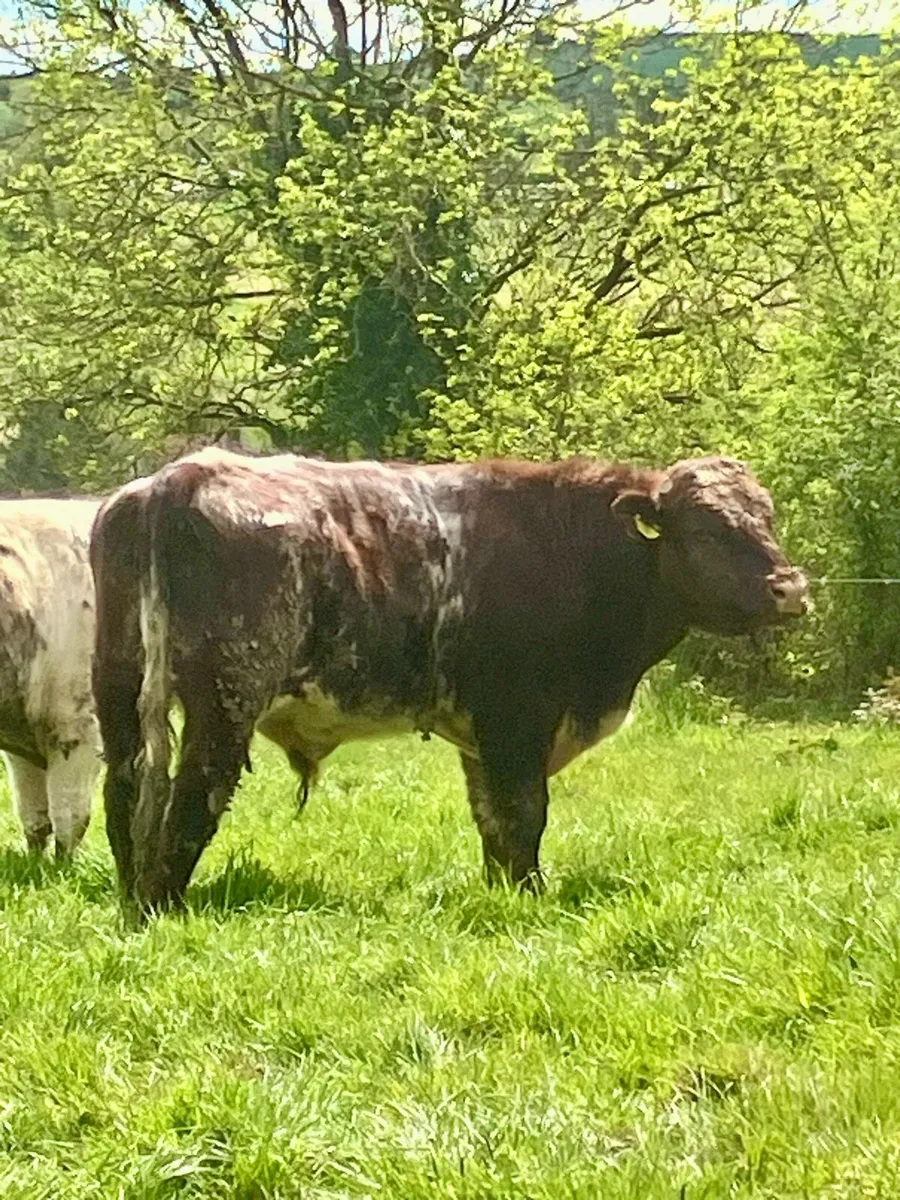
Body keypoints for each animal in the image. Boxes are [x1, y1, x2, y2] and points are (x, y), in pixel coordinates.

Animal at [90, 450, 807, 911]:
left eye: (767, 518)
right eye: (709, 530)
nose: (790, 589)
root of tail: (180, 477)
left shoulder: (479, 734)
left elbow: (491, 819)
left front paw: (506, 890)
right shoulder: (515, 721)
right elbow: (522, 815)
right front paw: (530, 898)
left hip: (118, 686)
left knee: (124, 792)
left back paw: (131, 896)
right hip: (226, 699)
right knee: (193, 798)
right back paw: (164, 904)